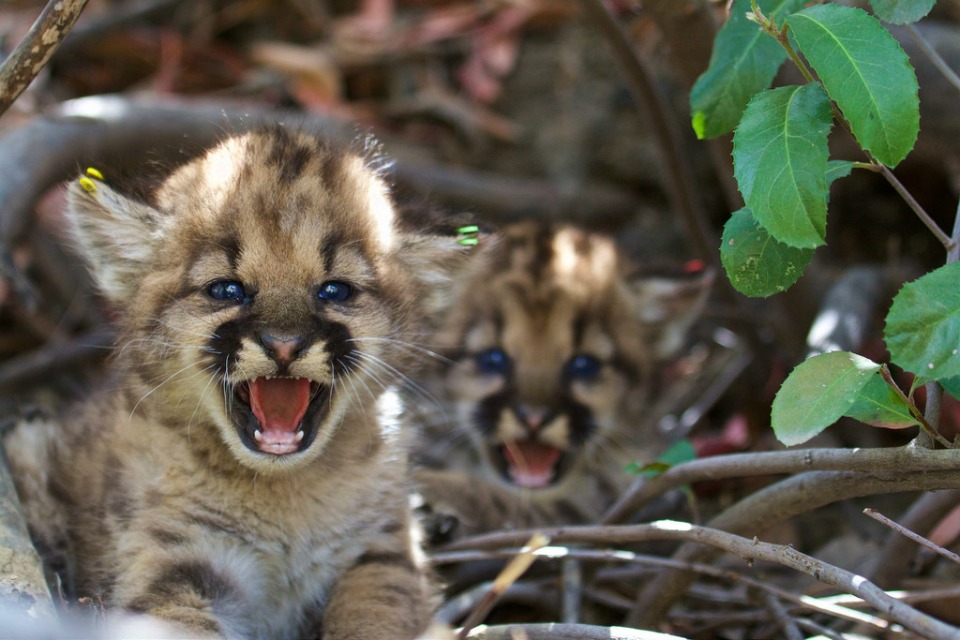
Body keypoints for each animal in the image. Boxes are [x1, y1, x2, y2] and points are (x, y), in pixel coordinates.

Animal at [3, 126, 472, 640]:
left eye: (335, 290)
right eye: (227, 290)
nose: (284, 345)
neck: (285, 495)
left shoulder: (383, 553)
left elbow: (379, 616)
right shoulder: (174, 563)